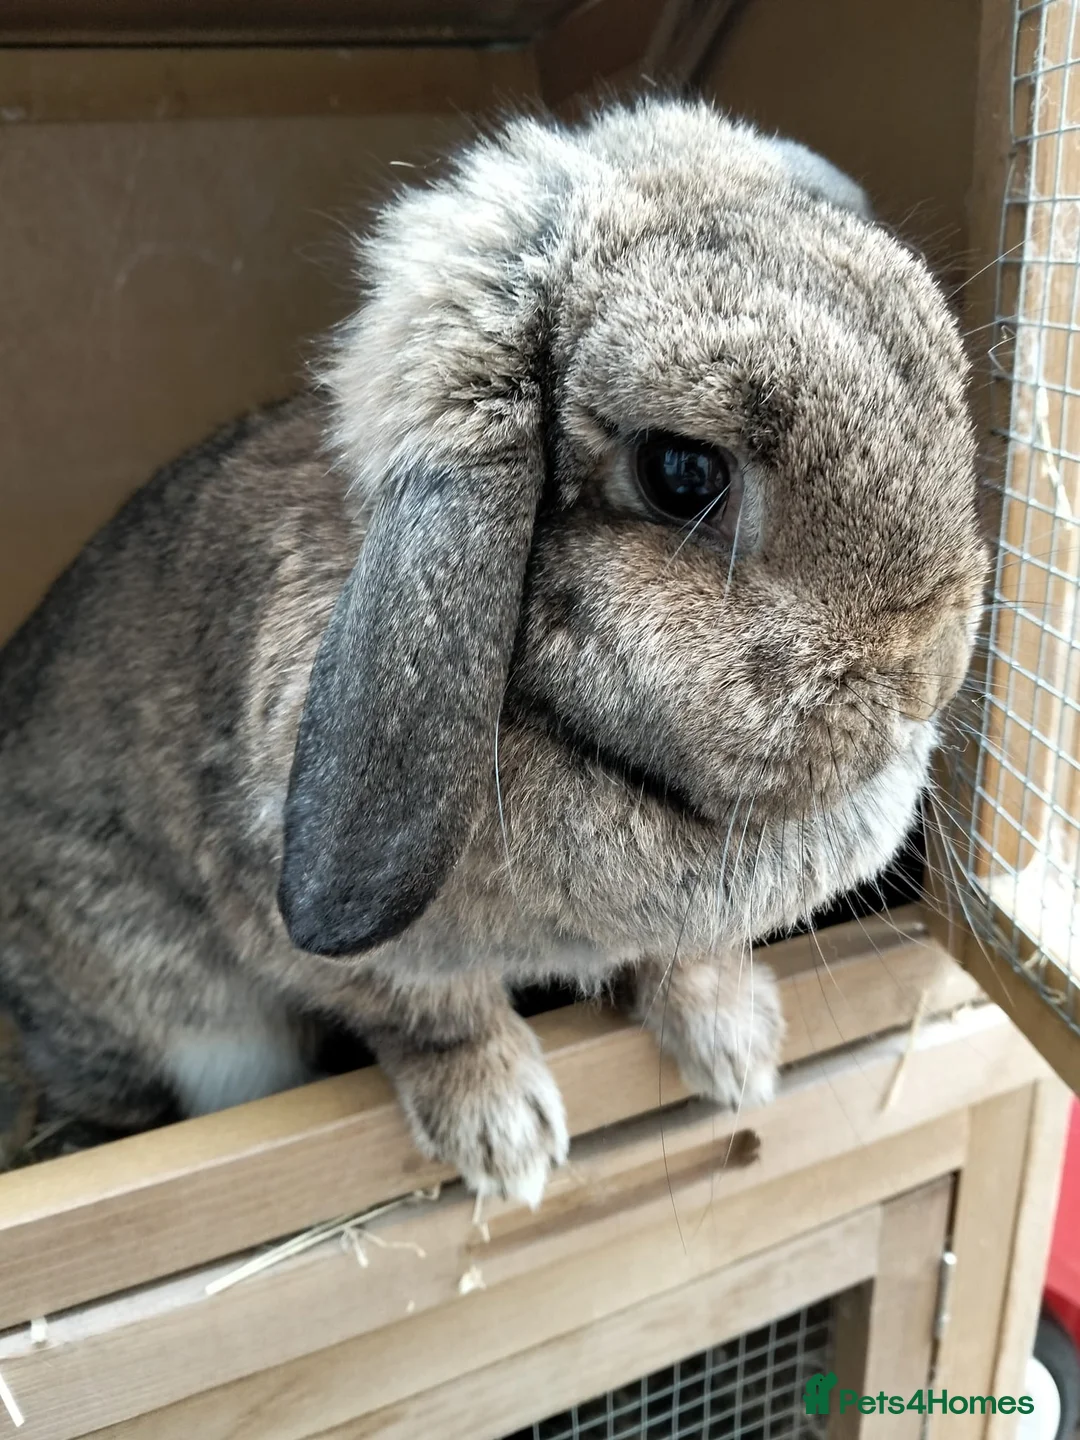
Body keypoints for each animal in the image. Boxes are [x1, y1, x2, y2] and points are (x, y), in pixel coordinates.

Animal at [0, 98, 985, 1206]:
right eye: (682, 474)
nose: (927, 676)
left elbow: (682, 962)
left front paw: (739, 1052)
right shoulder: (334, 940)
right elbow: (439, 1018)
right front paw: (507, 1139)